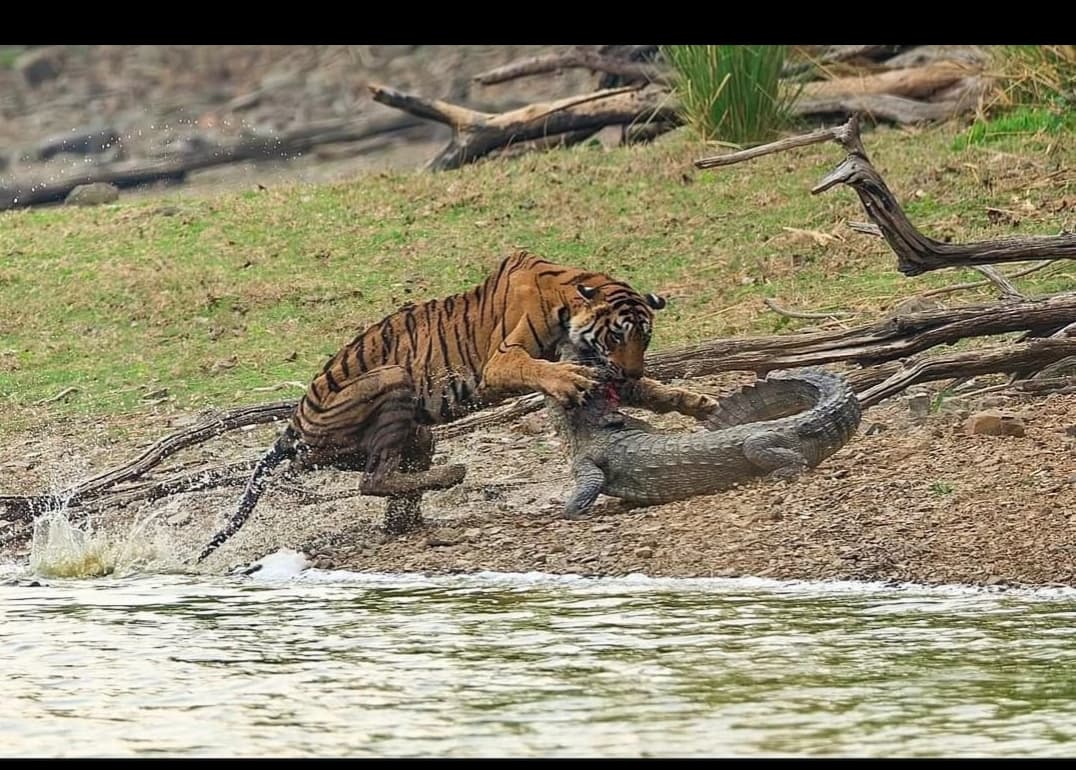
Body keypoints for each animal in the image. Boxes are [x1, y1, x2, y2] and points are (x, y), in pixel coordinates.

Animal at [194, 249, 717, 563]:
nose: (627, 372)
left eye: (645, 337)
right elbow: (543, 370)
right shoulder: (502, 362)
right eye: (617, 335)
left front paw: (697, 402)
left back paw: (413, 519)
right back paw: (452, 475)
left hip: (411, 434)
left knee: (386, 481)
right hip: (392, 377)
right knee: (372, 480)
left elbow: (653, 389)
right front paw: (571, 381)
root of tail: (295, 421)